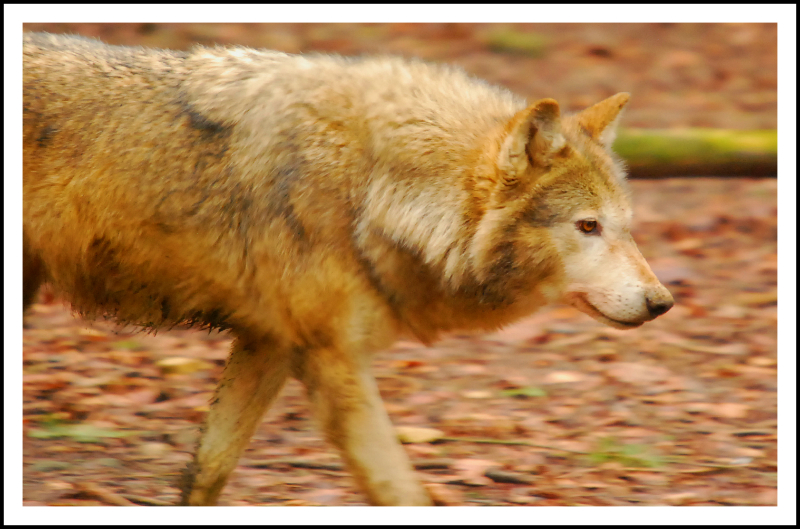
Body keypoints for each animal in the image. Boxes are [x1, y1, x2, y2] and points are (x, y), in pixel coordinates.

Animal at [23, 32, 673, 505]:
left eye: (624, 225)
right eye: (587, 226)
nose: (662, 303)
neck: (373, 192)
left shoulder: (270, 346)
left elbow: (205, 474)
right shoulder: (333, 358)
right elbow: (401, 491)